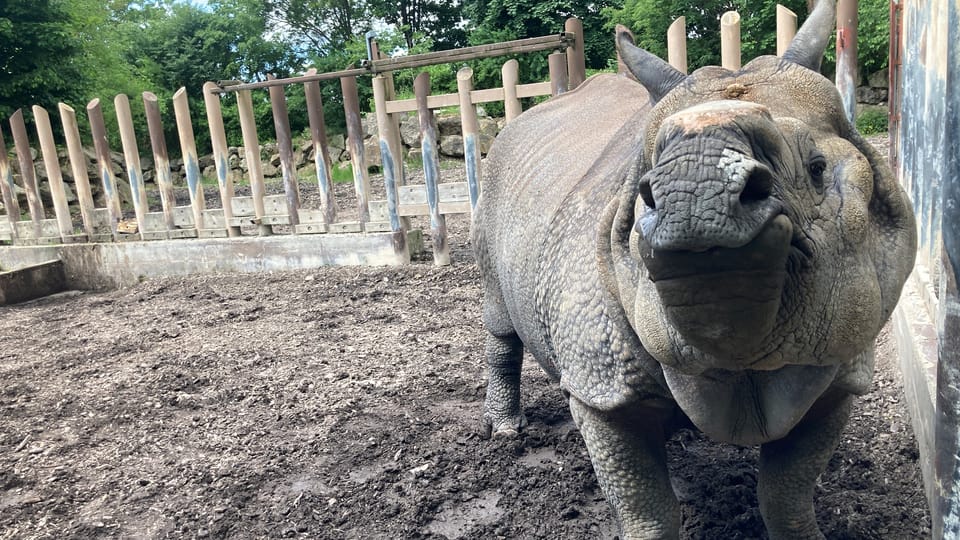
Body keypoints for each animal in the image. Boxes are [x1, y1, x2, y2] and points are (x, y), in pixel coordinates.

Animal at [471, 1, 917, 537]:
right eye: (646, 187)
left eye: (816, 167)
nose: (696, 186)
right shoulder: (602, 389)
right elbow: (646, 507)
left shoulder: (839, 370)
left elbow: (787, 493)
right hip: (493, 183)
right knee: (499, 320)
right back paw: (506, 432)